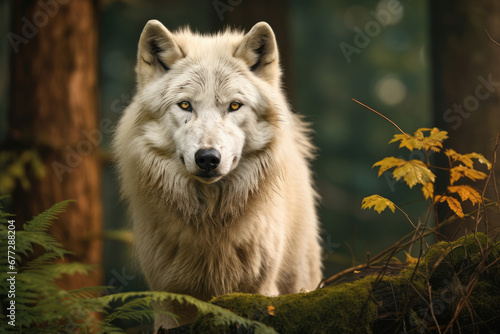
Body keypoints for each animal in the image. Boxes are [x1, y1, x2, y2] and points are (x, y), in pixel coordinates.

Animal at [113, 20, 322, 328]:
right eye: (185, 105)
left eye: (234, 105)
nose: (208, 158)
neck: (210, 220)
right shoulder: (170, 297)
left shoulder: (258, 289)